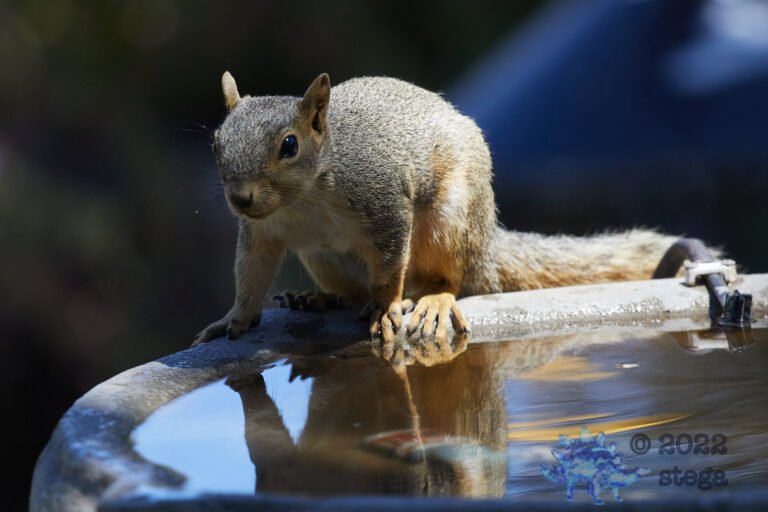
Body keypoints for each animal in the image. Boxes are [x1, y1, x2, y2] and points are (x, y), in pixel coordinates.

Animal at [193, 72, 694, 350]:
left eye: (290, 145)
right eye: (215, 142)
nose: (240, 198)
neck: (304, 201)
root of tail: (487, 244)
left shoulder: (384, 204)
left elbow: (390, 269)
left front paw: (386, 308)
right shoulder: (261, 234)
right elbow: (250, 274)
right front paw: (234, 318)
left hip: (448, 224)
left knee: (452, 280)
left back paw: (432, 300)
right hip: (321, 257)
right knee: (350, 290)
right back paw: (320, 298)